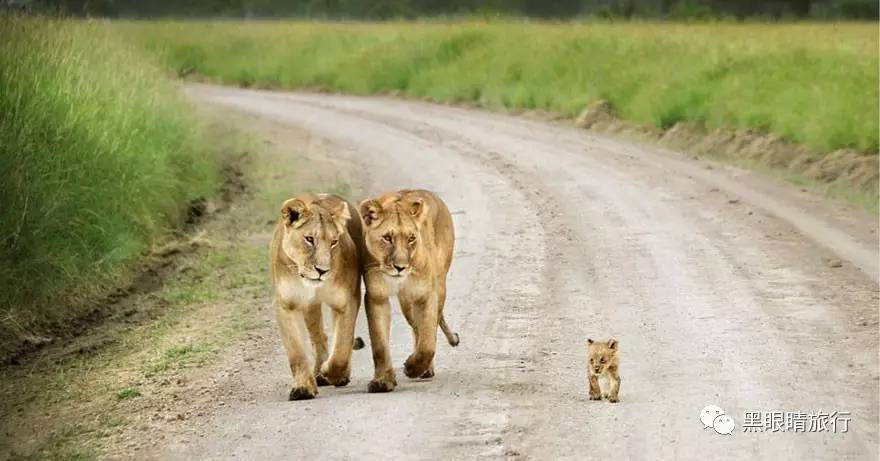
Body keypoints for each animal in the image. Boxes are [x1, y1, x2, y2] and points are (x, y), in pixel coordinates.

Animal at [270, 192, 362, 398]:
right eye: (309, 239)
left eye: (334, 242)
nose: (322, 270)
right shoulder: (285, 304)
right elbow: (296, 352)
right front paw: (303, 388)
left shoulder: (347, 300)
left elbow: (342, 346)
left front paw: (334, 373)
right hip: (309, 307)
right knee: (319, 337)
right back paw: (318, 373)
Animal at [360, 188, 460, 392]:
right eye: (387, 238)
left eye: (411, 238)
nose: (400, 267)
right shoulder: (376, 296)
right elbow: (379, 343)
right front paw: (382, 381)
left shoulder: (427, 294)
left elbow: (427, 342)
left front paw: (413, 368)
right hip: (406, 301)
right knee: (415, 327)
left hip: (439, 285)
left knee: (428, 328)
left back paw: (425, 369)